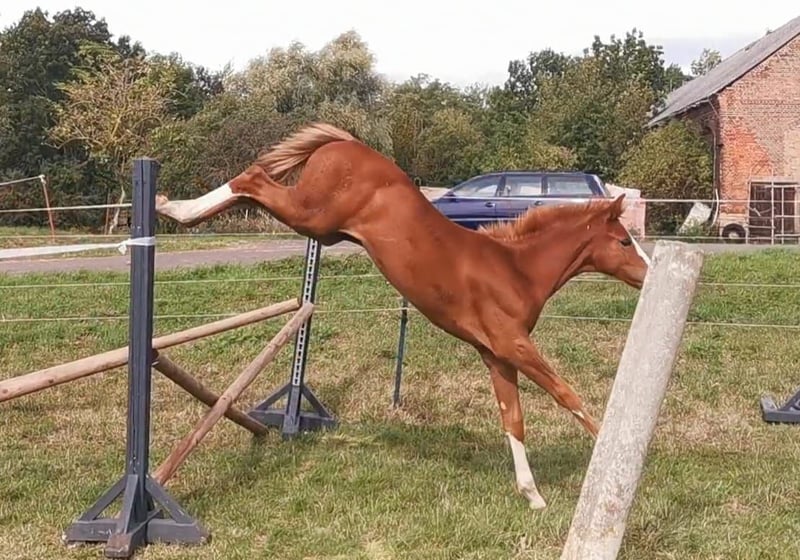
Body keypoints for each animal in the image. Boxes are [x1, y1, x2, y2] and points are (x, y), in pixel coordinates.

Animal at [154, 122, 651, 510]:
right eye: (624, 241)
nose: (649, 274)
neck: (515, 270)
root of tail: (345, 142)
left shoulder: (496, 355)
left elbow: (513, 418)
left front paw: (532, 495)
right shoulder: (514, 343)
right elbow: (566, 394)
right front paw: (611, 451)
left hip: (320, 227)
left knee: (251, 190)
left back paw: (177, 211)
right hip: (312, 216)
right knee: (254, 179)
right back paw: (169, 206)